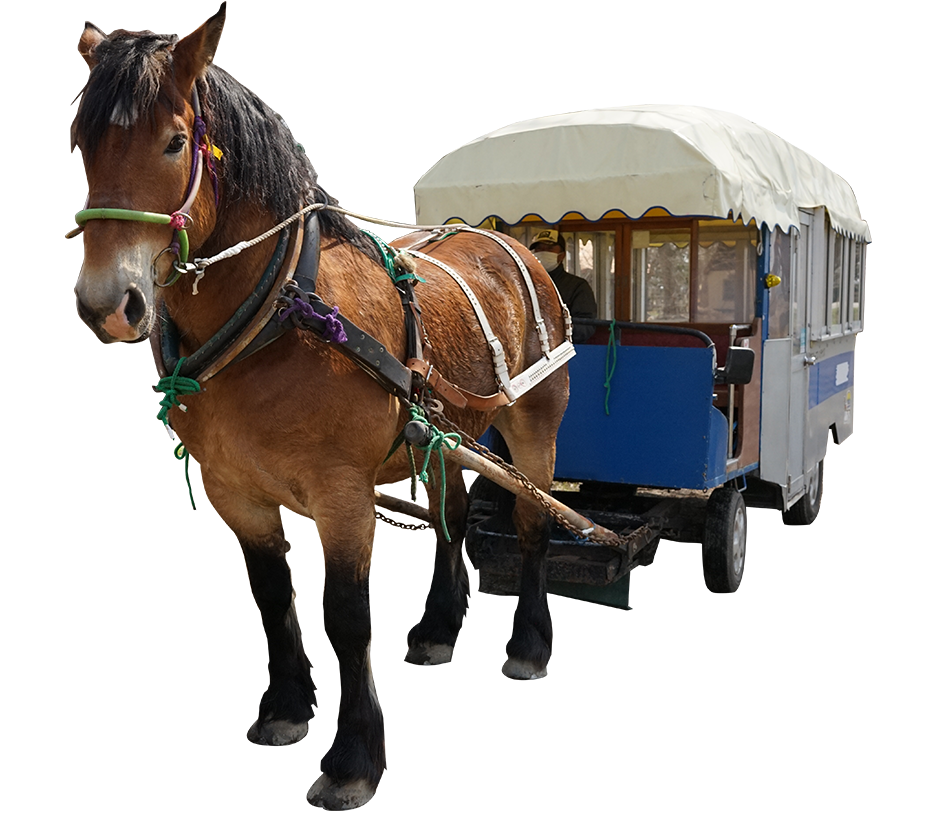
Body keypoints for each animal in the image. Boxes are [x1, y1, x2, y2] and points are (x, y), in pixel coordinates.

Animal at [73, 9, 569, 810]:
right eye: (87, 142)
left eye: (174, 141)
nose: (103, 302)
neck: (279, 313)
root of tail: (504, 240)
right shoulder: (234, 491)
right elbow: (274, 595)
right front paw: (287, 708)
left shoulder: (341, 493)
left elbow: (345, 615)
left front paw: (352, 753)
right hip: (445, 433)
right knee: (457, 513)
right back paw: (438, 626)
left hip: (534, 427)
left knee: (532, 524)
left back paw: (526, 640)